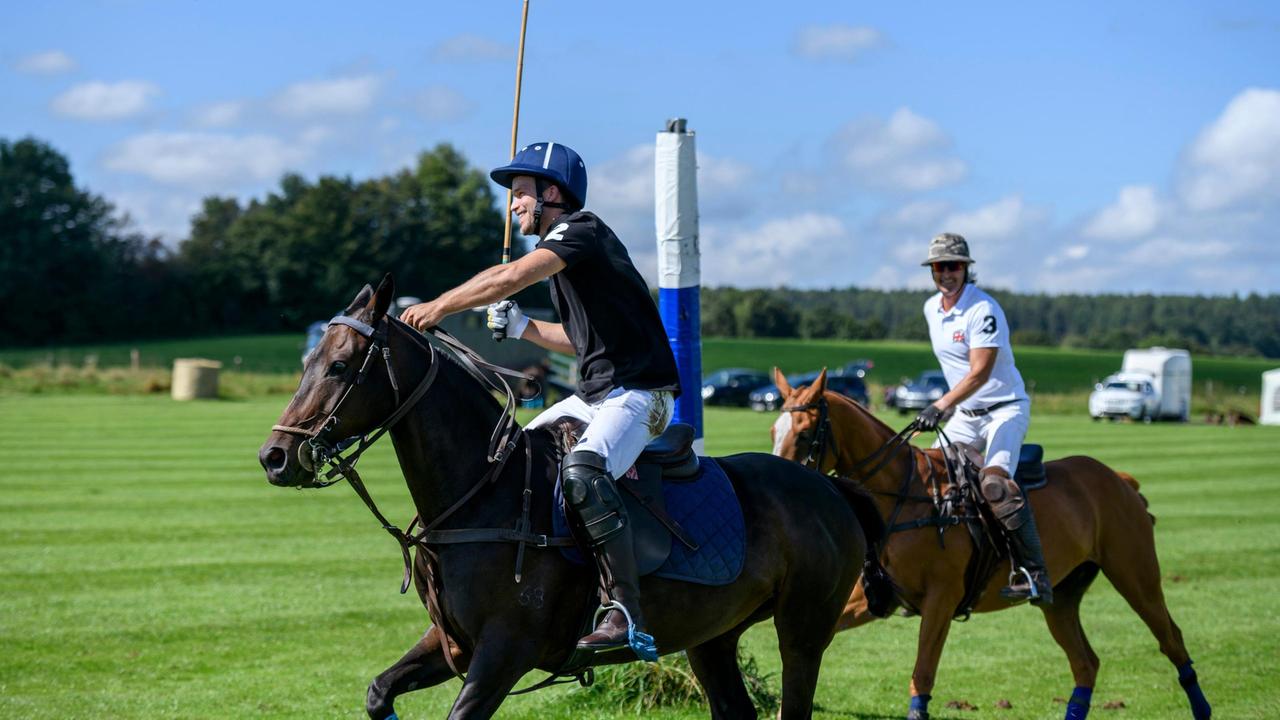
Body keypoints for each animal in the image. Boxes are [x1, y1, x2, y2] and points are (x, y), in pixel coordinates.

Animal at [257, 275, 880, 717]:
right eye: (307, 361)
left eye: (340, 366)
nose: (274, 457)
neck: (481, 496)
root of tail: (829, 487)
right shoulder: (450, 642)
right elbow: (377, 691)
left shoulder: (504, 652)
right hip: (714, 637)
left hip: (804, 630)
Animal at [762, 368, 1213, 717]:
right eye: (772, 430)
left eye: (805, 433)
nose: (782, 485)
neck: (904, 496)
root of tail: (1120, 479)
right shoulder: (871, 600)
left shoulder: (941, 601)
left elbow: (921, 678)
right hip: (1062, 597)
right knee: (1086, 662)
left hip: (1135, 574)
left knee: (1171, 638)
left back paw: (1201, 707)